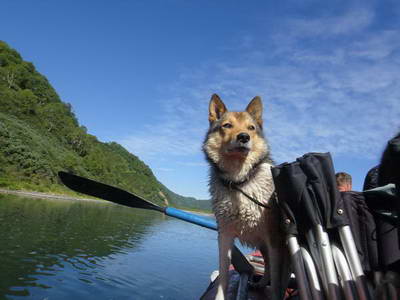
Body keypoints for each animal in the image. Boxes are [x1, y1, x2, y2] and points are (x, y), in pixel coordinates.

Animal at [203, 94, 288, 300]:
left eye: (251, 128)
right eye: (227, 125)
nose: (243, 137)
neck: (240, 182)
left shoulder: (274, 239)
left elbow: (277, 279)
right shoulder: (224, 235)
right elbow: (223, 275)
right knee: (268, 268)